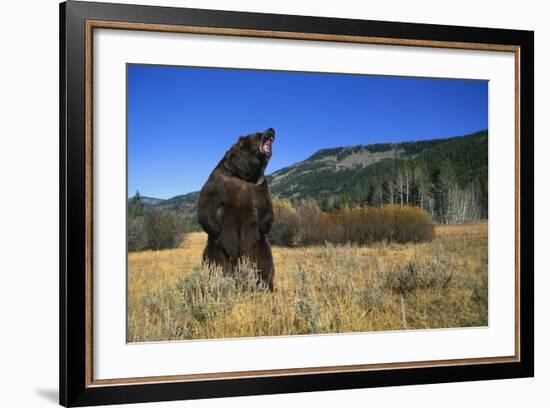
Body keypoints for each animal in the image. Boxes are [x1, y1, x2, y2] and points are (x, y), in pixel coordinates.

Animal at [197, 127, 276, 290]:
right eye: (258, 132)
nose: (272, 129)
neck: (244, 175)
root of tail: (237, 262)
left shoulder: (260, 185)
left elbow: (266, 206)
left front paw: (263, 225)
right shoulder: (220, 179)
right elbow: (206, 201)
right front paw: (214, 227)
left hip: (257, 247)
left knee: (265, 264)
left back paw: (267, 287)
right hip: (218, 249)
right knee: (212, 263)